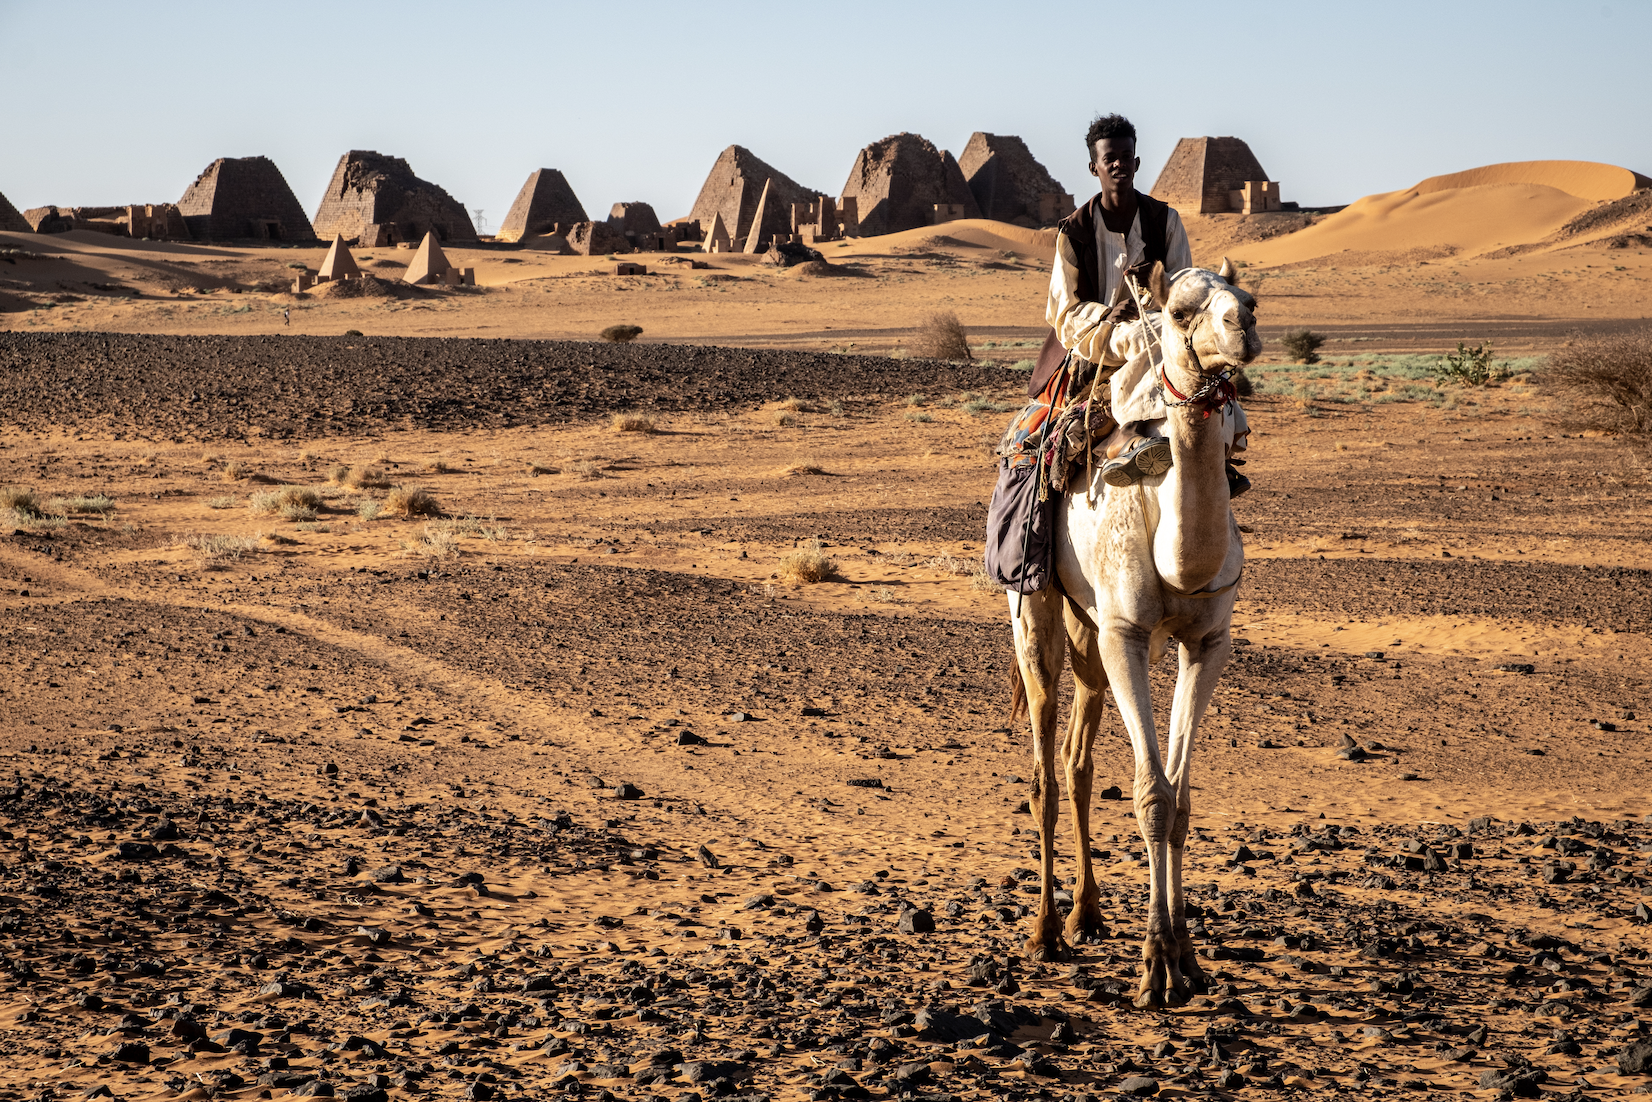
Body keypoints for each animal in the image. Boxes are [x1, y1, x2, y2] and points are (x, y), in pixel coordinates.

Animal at [1004, 259, 1262, 1011]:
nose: (1244, 328)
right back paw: (1046, 933)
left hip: (1089, 632)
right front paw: (1156, 968)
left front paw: (1188, 959)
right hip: (1036, 612)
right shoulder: (1127, 634)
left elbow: (1178, 799)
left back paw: (1088, 915)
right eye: (1176, 312)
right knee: (1043, 769)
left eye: (1250, 298)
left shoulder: (1207, 642)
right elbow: (1150, 795)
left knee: (1077, 761)